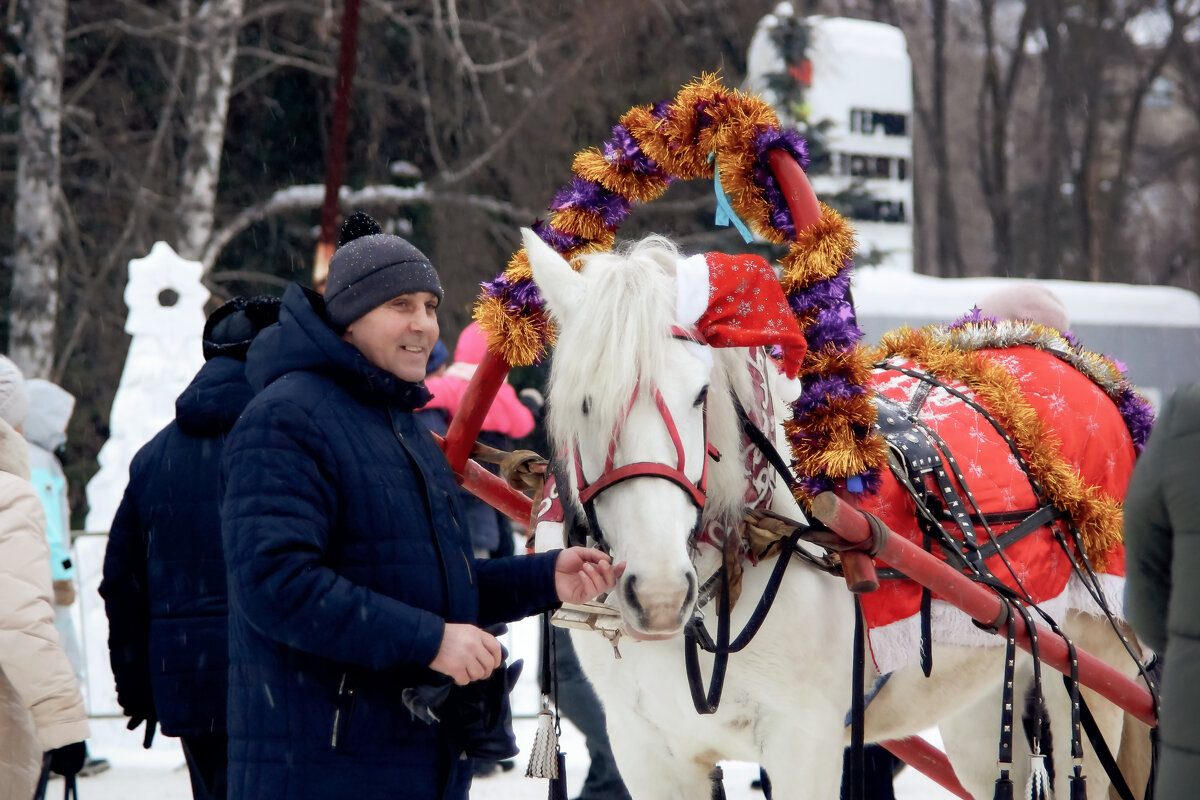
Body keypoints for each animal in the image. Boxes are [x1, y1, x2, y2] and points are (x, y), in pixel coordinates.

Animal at [530, 227, 1147, 796]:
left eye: (700, 395)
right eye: (583, 402)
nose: (659, 594)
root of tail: (1062, 355)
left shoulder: (804, 743)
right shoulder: (648, 752)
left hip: (1094, 666)